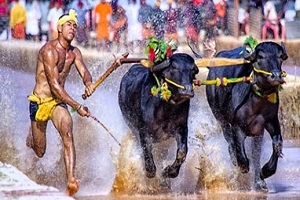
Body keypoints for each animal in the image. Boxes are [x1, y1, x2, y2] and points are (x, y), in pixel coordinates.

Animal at [204, 41, 288, 191]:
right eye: (260, 56)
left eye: (280, 57)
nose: (276, 76)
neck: (256, 103)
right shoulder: (237, 126)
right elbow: (241, 153)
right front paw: (243, 167)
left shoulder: (271, 122)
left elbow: (277, 144)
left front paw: (265, 172)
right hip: (219, 116)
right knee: (230, 141)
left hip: (257, 133)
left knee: (255, 154)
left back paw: (258, 181)